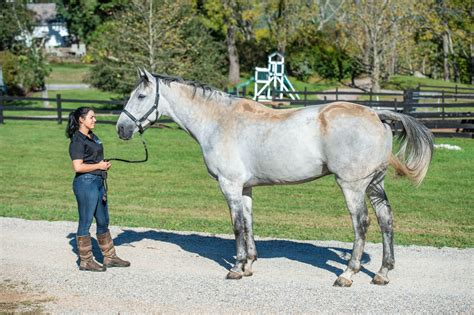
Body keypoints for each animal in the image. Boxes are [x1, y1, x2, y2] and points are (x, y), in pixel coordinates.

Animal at [115, 70, 434, 288]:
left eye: (140, 96)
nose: (121, 128)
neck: (218, 121)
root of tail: (375, 113)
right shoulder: (245, 189)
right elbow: (248, 224)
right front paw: (249, 265)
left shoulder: (229, 185)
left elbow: (237, 227)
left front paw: (236, 268)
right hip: (375, 184)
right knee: (386, 220)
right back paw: (382, 272)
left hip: (353, 186)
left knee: (362, 224)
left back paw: (347, 274)